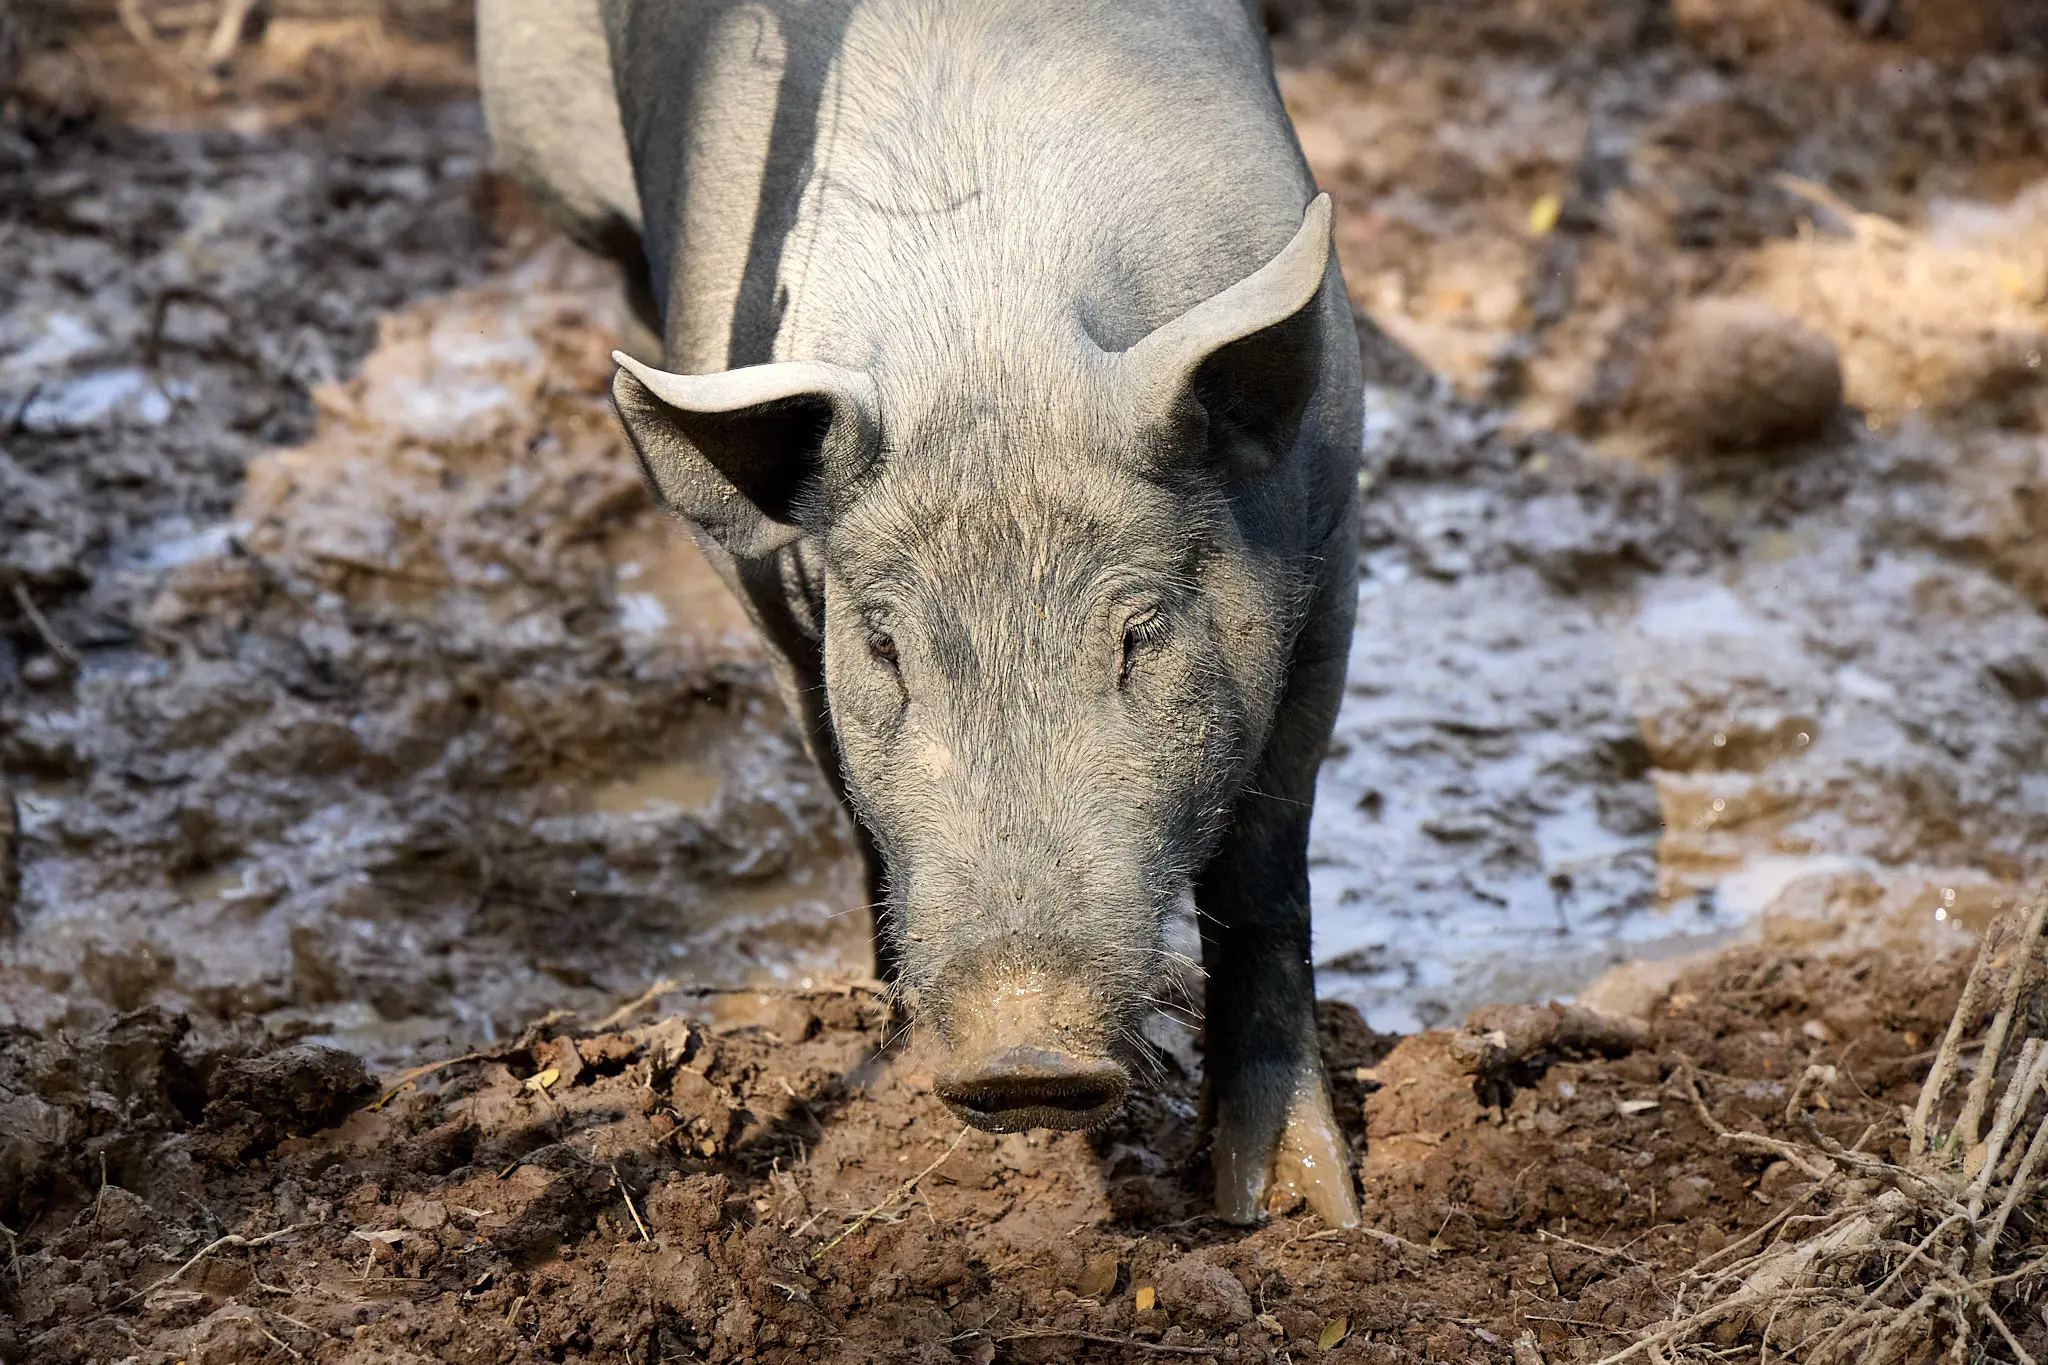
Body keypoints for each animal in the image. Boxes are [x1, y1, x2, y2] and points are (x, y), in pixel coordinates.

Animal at [477, 0, 1363, 1227]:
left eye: (1138, 634)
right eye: (886, 647)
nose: (1024, 1057)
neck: (993, 329)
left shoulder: (1332, 545)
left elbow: (1266, 868)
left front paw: (1296, 1211)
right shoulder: (785, 621)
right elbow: (851, 797)